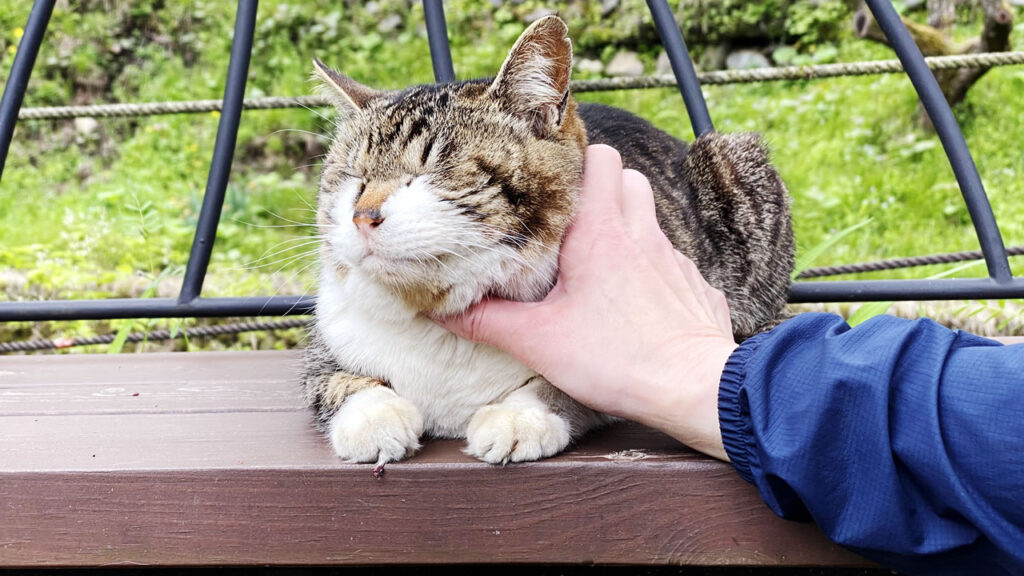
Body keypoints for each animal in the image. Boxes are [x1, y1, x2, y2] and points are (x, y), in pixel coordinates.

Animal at [299, 15, 794, 469]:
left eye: (433, 171)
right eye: (353, 178)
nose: (363, 216)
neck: (439, 332)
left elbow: (564, 386)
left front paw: (519, 417)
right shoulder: (326, 341)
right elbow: (338, 380)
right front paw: (373, 417)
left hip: (738, 162)